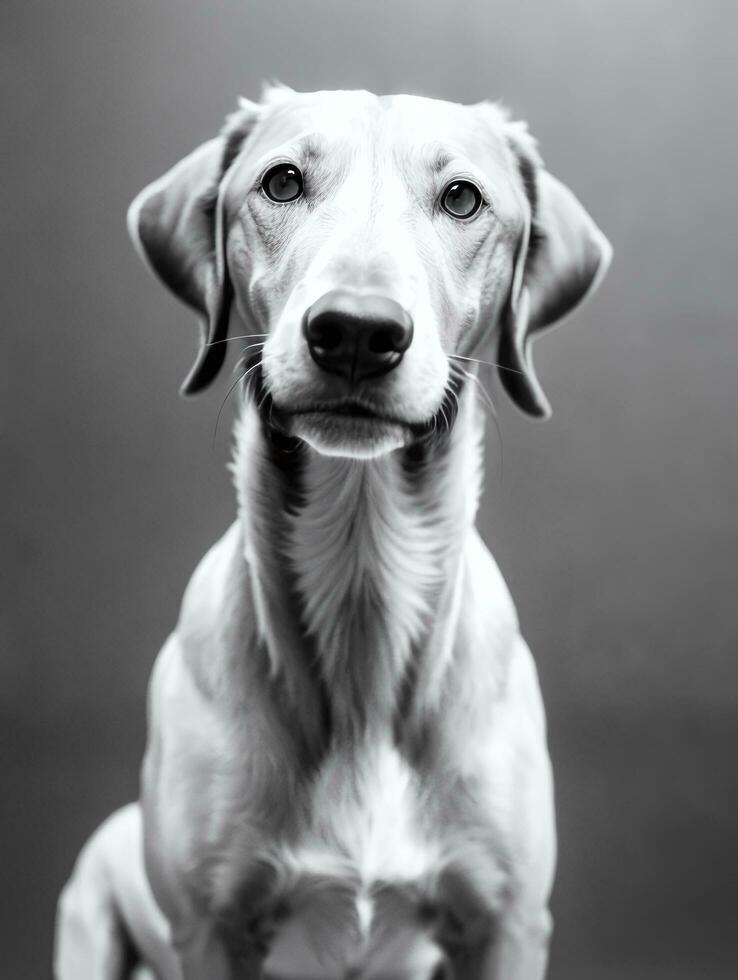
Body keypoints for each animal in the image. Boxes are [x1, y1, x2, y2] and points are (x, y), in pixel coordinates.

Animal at [53, 86, 608, 980]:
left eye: (463, 198)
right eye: (281, 181)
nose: (355, 330)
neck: (362, 591)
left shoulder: (509, 923)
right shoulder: (209, 927)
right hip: (92, 902)